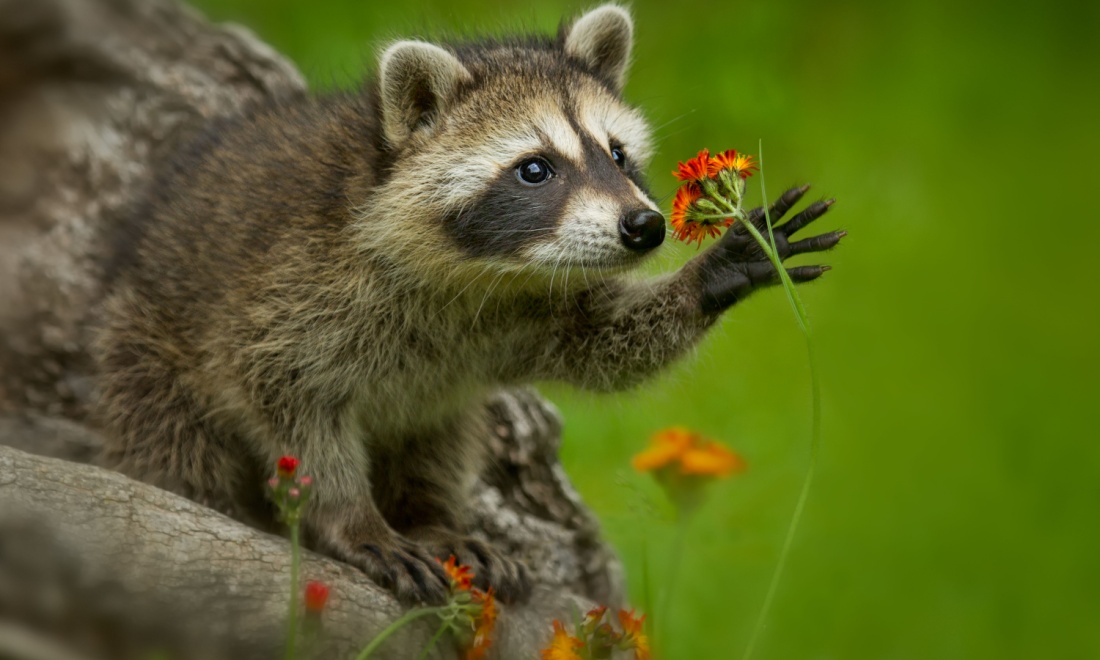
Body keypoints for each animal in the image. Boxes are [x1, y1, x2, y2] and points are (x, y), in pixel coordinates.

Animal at [96, 3, 840, 602]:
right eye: (535, 168)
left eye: (618, 155)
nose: (645, 227)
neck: (480, 273)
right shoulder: (289, 294)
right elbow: (292, 409)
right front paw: (350, 517)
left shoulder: (528, 308)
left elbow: (604, 342)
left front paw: (714, 272)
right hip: (144, 357)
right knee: (178, 451)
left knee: (440, 434)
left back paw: (431, 516)